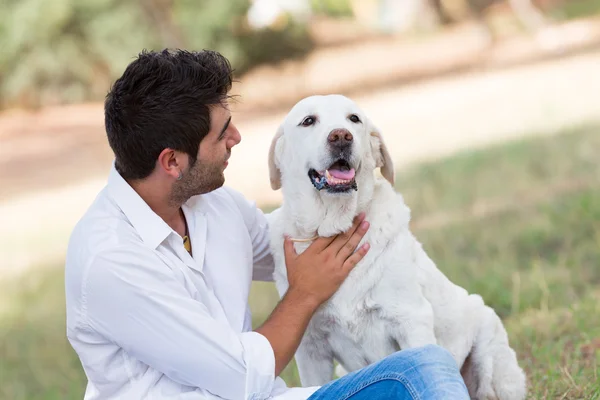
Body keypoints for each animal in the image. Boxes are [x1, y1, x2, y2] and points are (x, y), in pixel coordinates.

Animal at [266, 94, 524, 400]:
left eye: (354, 119)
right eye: (308, 121)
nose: (341, 136)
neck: (334, 227)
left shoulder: (411, 319)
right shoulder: (311, 347)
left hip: (488, 346)